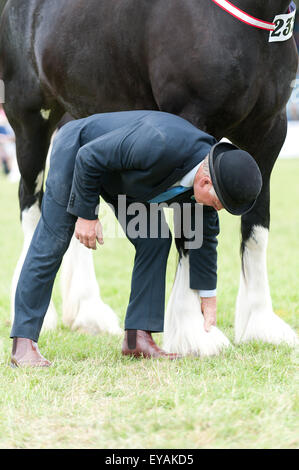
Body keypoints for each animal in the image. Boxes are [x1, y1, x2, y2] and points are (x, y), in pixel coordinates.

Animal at [0, 0, 298, 352]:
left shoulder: (269, 132)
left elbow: (256, 230)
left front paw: (260, 325)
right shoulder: (192, 120)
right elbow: (190, 230)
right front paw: (193, 332)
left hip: (77, 113)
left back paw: (88, 311)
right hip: (29, 119)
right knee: (31, 205)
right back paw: (42, 317)